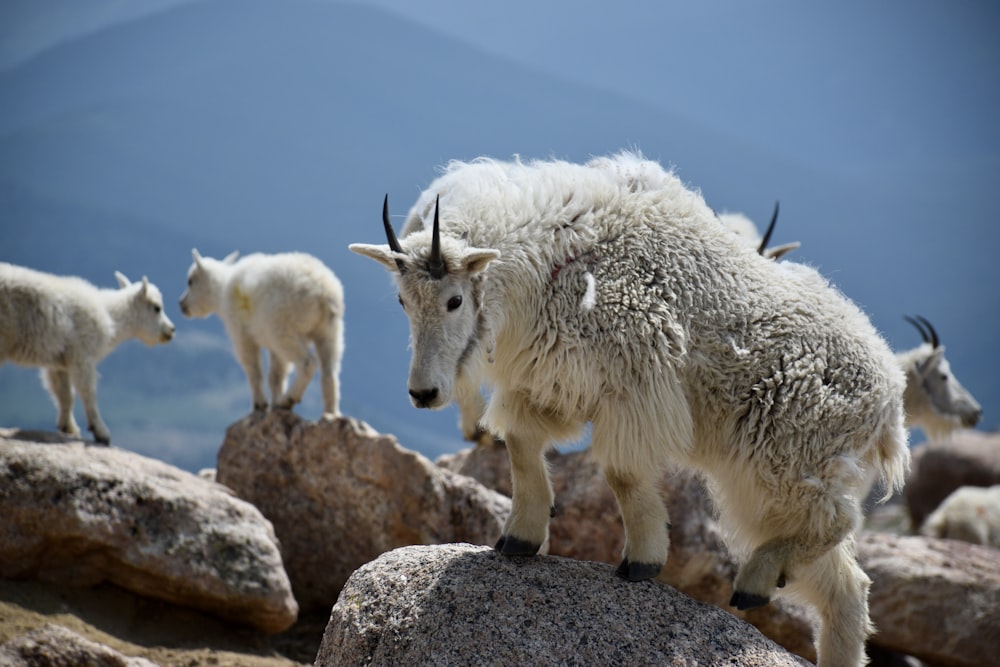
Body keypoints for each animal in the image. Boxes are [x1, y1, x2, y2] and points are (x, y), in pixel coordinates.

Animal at [0, 264, 176, 446]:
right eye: (157, 308)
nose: (171, 330)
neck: (110, 316)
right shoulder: (82, 355)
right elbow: (88, 392)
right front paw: (101, 433)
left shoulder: (59, 361)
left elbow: (65, 394)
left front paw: (68, 428)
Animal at [180, 250, 348, 418]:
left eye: (190, 281)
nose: (182, 304)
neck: (221, 292)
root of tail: (322, 291)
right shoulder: (273, 347)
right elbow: (276, 375)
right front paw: (274, 405)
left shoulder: (242, 334)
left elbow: (254, 369)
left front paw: (260, 405)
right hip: (329, 329)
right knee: (330, 370)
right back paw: (330, 413)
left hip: (283, 327)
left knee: (308, 362)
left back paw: (289, 399)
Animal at [354, 153, 916, 667]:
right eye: (403, 300)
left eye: (453, 301)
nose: (423, 393)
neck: (549, 261)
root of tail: (891, 400)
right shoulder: (552, 383)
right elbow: (520, 445)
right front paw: (519, 537)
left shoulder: (635, 387)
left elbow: (622, 473)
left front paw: (643, 560)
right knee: (846, 586)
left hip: (783, 460)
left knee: (834, 525)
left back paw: (753, 581)